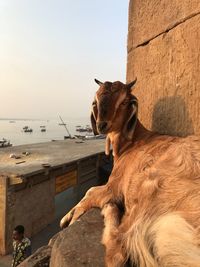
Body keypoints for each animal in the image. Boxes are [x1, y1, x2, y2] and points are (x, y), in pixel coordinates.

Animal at [60, 80, 200, 267]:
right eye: (96, 100)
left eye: (124, 101)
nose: (102, 125)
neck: (131, 144)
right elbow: (90, 190)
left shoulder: (114, 186)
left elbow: (90, 191)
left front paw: (69, 218)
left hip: (150, 189)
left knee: (118, 251)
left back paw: (110, 208)